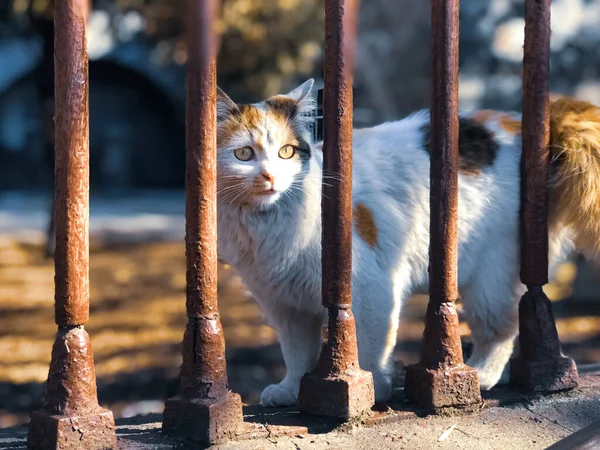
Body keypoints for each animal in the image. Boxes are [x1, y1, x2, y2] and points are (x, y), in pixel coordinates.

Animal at [214, 79, 600, 406]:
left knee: (500, 332)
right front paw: (292, 389)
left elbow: (370, 347)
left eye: (287, 152)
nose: (270, 177)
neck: (268, 226)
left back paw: (482, 374)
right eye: (244, 154)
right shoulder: (285, 305)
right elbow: (297, 354)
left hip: (491, 279)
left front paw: (369, 387)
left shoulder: (372, 289)